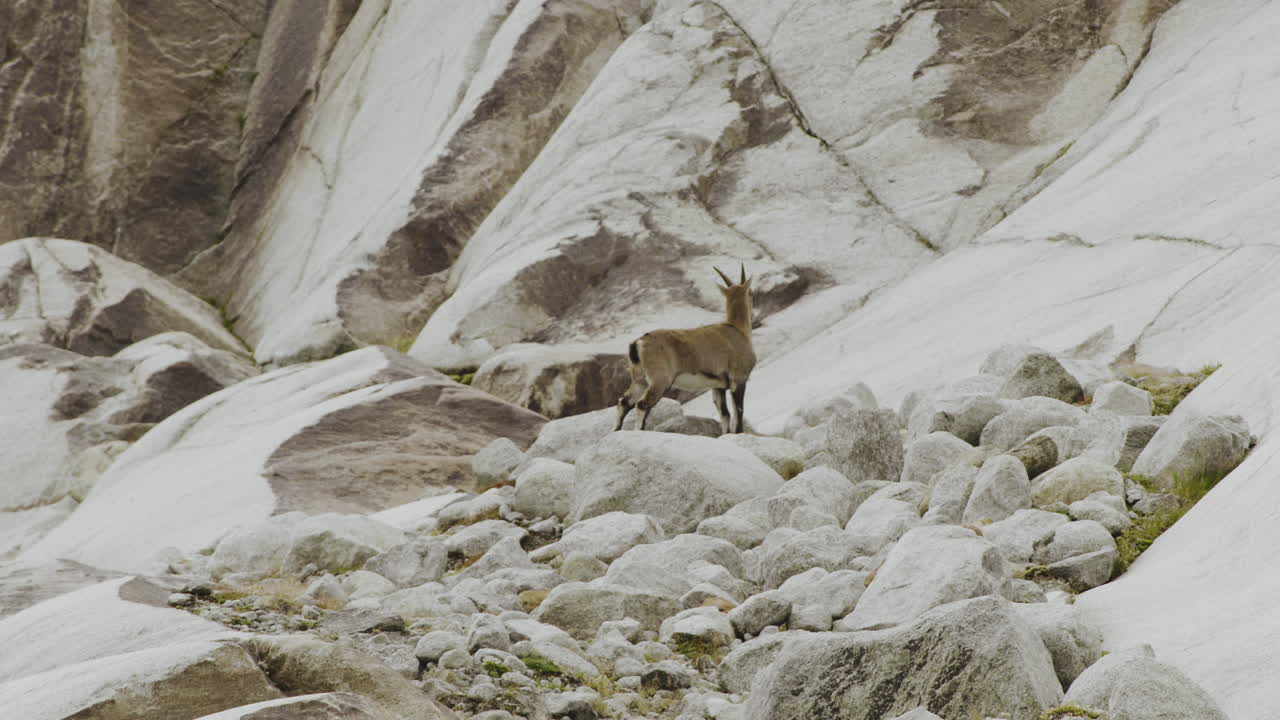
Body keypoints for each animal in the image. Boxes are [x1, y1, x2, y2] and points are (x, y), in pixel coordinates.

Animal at [614, 265, 755, 433]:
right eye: (751, 293)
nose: (753, 312)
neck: (737, 330)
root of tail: (638, 343)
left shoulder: (717, 386)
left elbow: (725, 414)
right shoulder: (739, 379)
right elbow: (738, 412)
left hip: (639, 381)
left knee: (624, 402)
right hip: (660, 380)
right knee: (642, 405)